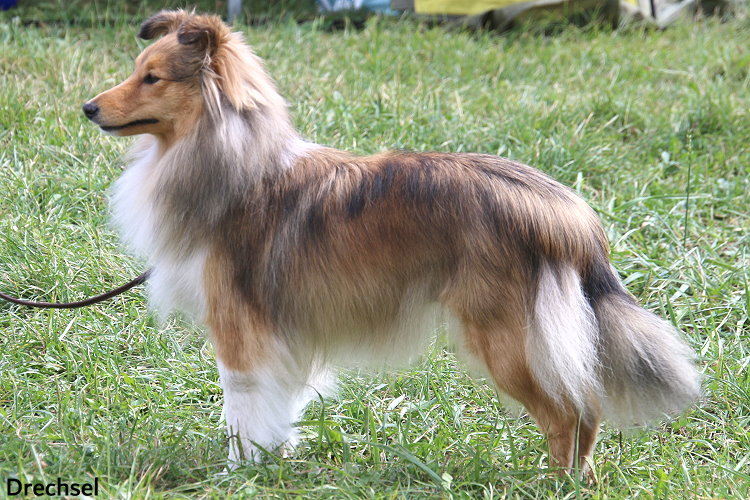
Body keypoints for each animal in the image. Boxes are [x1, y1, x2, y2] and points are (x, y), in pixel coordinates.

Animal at [85, 10, 704, 472]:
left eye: (153, 77)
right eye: (138, 69)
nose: (88, 107)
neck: (233, 162)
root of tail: (568, 214)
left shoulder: (240, 331)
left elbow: (242, 411)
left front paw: (238, 473)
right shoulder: (283, 336)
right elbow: (277, 405)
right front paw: (274, 458)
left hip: (505, 339)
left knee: (567, 414)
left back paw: (555, 485)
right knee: (588, 407)